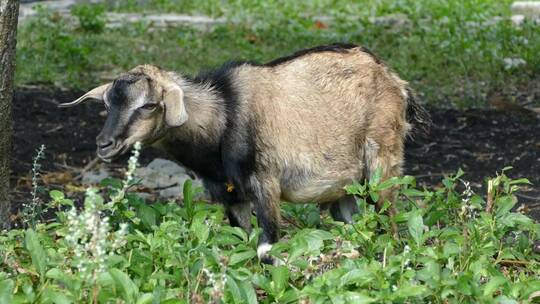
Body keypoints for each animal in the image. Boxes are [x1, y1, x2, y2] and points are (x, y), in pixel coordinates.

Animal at [59, 42, 430, 264]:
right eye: (108, 104)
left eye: (149, 105)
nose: (104, 145)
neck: (223, 114)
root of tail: (396, 82)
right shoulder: (230, 195)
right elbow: (242, 242)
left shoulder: (265, 183)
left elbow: (266, 248)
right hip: (344, 187)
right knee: (354, 224)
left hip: (382, 164)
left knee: (388, 223)